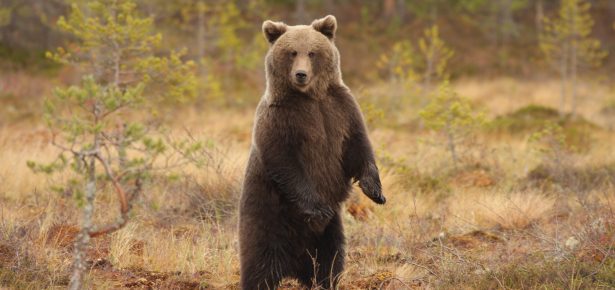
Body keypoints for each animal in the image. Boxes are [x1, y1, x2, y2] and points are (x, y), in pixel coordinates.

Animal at [239, 15, 388, 290]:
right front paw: (318, 209)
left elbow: (358, 146)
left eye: (312, 52)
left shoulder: (341, 110)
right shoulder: (280, 119)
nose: (300, 74)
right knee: (259, 263)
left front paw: (375, 190)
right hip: (265, 216)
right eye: (291, 52)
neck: (310, 96)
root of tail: (292, 267)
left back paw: (323, 281)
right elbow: (285, 162)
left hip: (329, 233)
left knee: (329, 260)